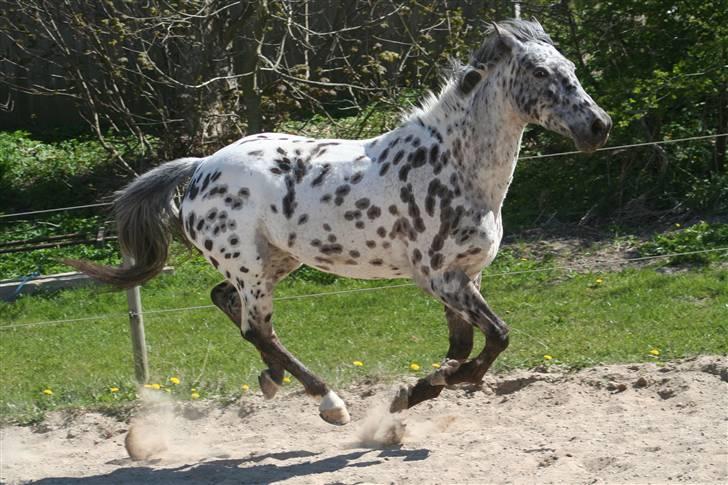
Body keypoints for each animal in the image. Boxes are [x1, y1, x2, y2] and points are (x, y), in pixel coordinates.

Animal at [71, 20, 612, 426]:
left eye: (571, 69)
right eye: (540, 72)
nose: (599, 126)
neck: (454, 166)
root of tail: (201, 166)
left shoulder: (463, 278)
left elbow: (464, 345)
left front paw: (420, 390)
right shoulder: (440, 278)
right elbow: (496, 337)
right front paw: (421, 389)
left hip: (277, 260)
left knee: (227, 302)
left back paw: (273, 380)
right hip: (251, 267)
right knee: (256, 327)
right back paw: (329, 402)